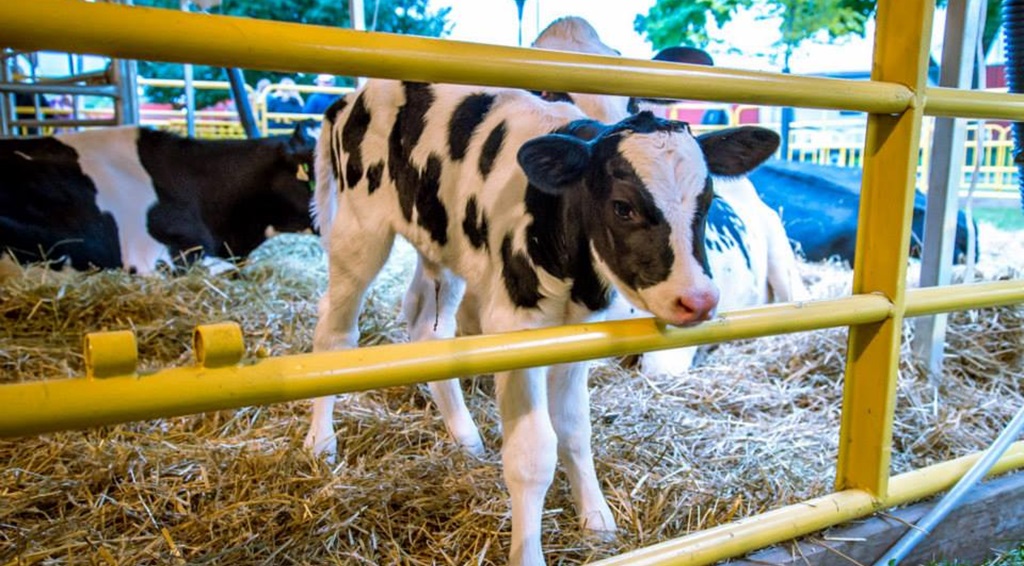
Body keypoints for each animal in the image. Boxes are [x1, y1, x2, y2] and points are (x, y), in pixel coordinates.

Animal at [303, 78, 780, 565]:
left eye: (710, 200)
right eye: (622, 207)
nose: (698, 299)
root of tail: (351, 98)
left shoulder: (578, 334)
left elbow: (574, 430)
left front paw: (597, 520)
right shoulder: (514, 332)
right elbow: (532, 455)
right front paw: (529, 552)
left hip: (442, 247)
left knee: (427, 324)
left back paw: (464, 436)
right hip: (360, 233)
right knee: (335, 334)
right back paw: (321, 443)